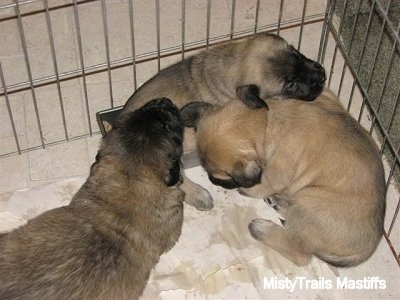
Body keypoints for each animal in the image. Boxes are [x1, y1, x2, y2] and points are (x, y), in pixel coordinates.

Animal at [182, 86, 388, 268]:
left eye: (223, 176)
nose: (213, 181)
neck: (266, 118)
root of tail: (365, 250)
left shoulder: (278, 168)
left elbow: (264, 184)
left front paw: (247, 190)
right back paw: (280, 204)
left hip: (308, 203)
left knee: (299, 253)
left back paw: (263, 229)